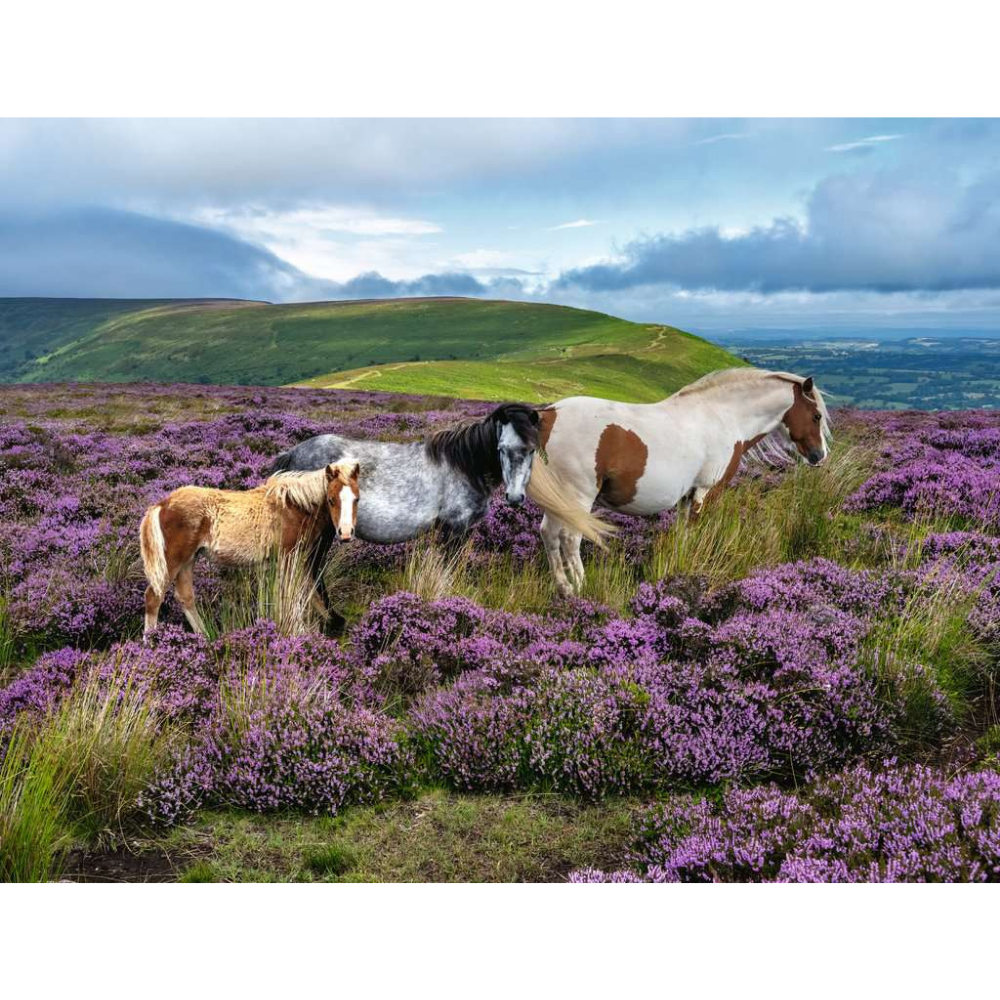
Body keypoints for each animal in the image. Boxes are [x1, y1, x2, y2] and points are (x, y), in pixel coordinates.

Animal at [139, 460, 360, 635]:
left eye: (356, 499)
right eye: (331, 500)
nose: (345, 533)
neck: (294, 506)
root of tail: (162, 504)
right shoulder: (289, 556)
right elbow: (292, 594)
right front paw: (298, 632)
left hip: (189, 560)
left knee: (185, 597)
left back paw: (205, 639)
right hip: (173, 561)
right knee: (153, 597)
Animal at [269, 402, 604, 546]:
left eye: (533, 449)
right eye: (501, 448)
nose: (515, 498)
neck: (466, 465)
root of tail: (292, 454)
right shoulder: (454, 528)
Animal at [526, 369, 831, 596]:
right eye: (816, 415)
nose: (820, 456)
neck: (723, 416)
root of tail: (550, 414)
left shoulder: (688, 494)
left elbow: (683, 534)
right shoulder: (706, 491)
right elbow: (694, 531)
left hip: (560, 500)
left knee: (548, 534)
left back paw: (564, 588)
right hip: (578, 496)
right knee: (570, 538)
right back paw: (580, 587)